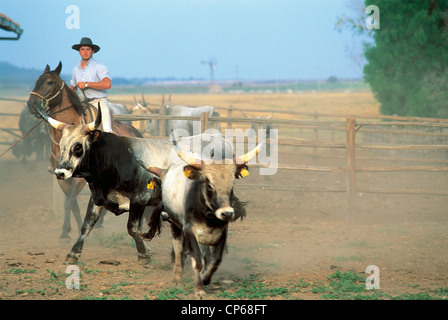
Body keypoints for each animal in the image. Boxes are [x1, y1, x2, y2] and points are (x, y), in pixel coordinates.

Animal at [26, 62, 142, 238]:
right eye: (36, 81)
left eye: (50, 82)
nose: (31, 104)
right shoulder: (61, 175)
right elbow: (71, 202)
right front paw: (69, 230)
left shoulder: (81, 177)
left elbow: (69, 201)